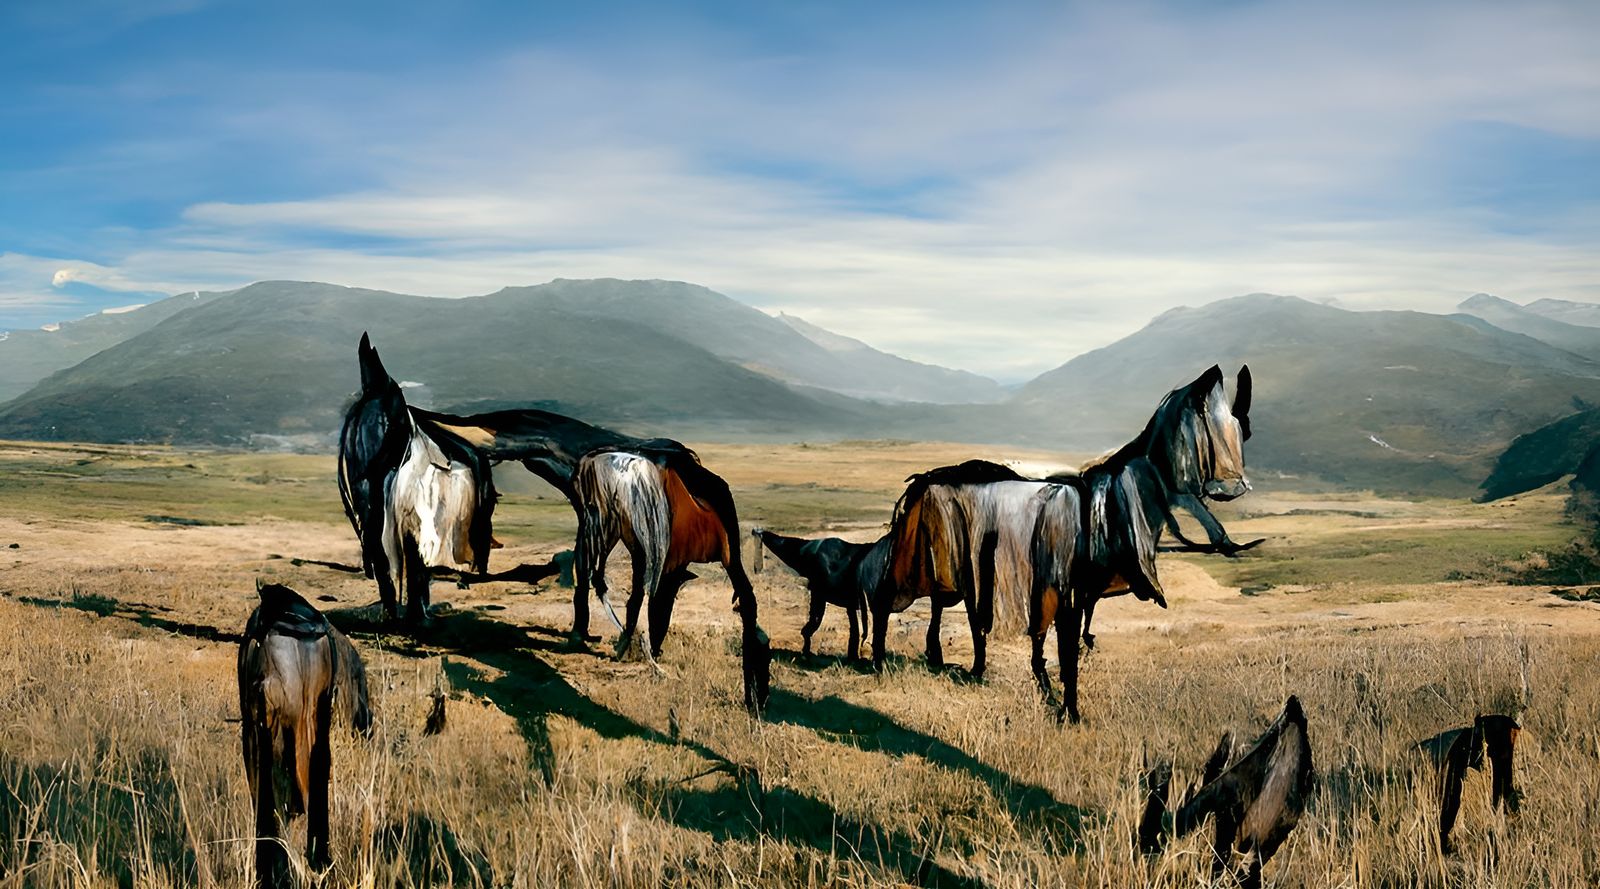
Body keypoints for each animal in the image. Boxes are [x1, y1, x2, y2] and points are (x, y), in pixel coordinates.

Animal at [575, 443, 771, 712]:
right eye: (762, 656)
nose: (760, 701)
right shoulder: (670, 564)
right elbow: (659, 610)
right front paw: (649, 650)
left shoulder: (666, 564)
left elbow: (654, 608)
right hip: (634, 543)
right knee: (628, 592)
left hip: (604, 529)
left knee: (595, 578)